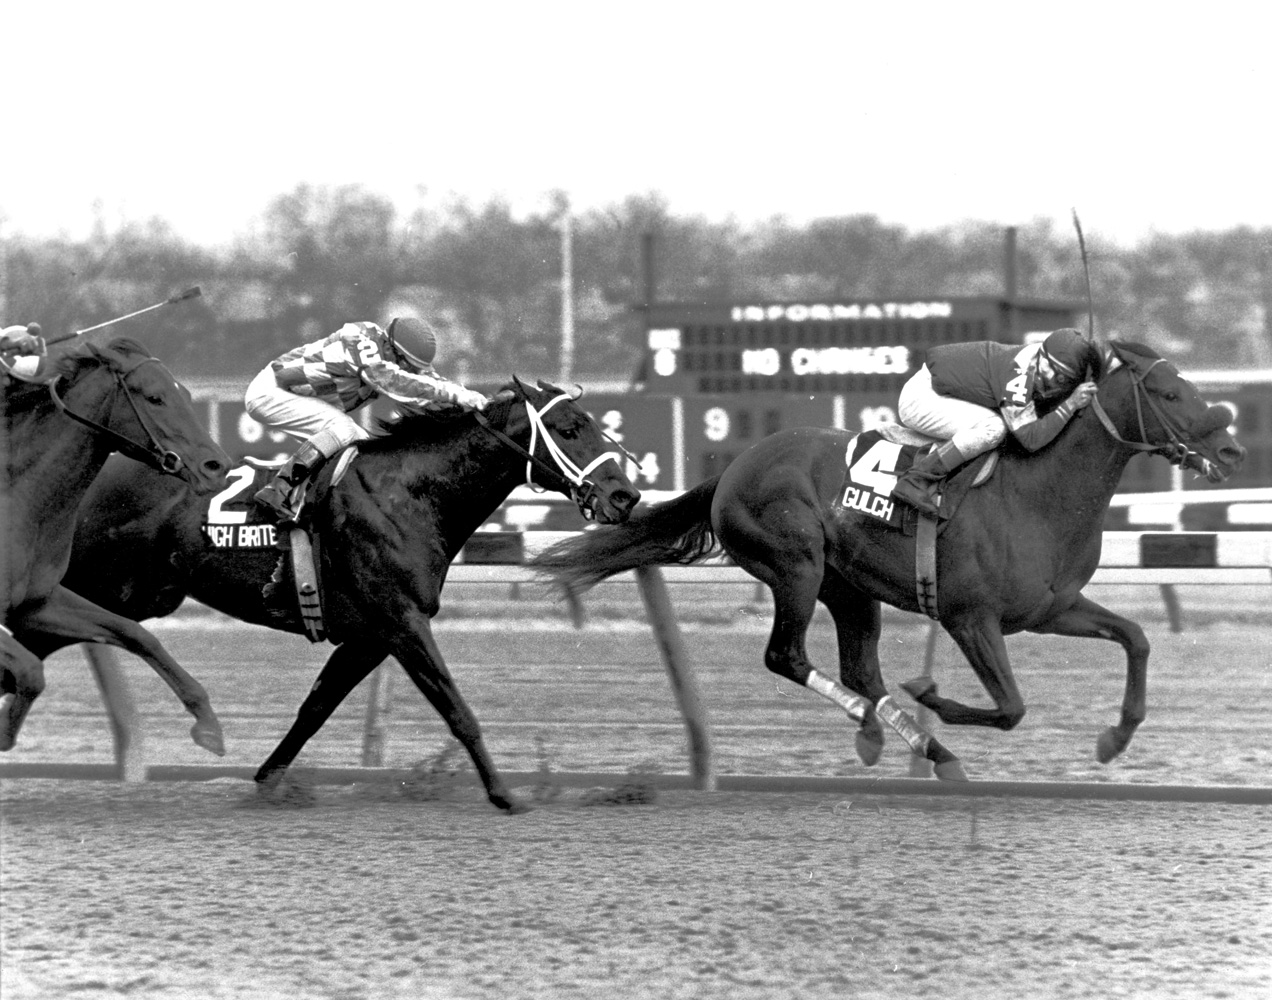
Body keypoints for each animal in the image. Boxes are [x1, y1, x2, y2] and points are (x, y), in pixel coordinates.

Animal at [2, 335, 230, 748]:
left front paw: (207, 722)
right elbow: (29, 672)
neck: (18, 498)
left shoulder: (37, 602)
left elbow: (135, 634)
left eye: (187, 394)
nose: (216, 466)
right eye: (155, 397)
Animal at [60, 376, 641, 809]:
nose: (625, 495)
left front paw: (264, 785)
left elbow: (314, 709)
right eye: (569, 428)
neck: (409, 493)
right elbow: (457, 710)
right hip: (104, 585)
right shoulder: (402, 621)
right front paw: (504, 795)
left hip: (139, 593)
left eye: (595, 424)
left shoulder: (369, 637)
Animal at [531, 343, 1246, 778]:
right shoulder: (969, 617)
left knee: (861, 671)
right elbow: (1011, 707)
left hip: (851, 587)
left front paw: (1115, 737)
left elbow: (1136, 638)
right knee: (787, 656)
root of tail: (735, 466)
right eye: (1170, 394)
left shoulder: (1050, 608)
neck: (1039, 492)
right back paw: (887, 731)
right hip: (796, 566)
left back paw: (910, 742)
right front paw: (929, 691)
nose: (1232, 448)